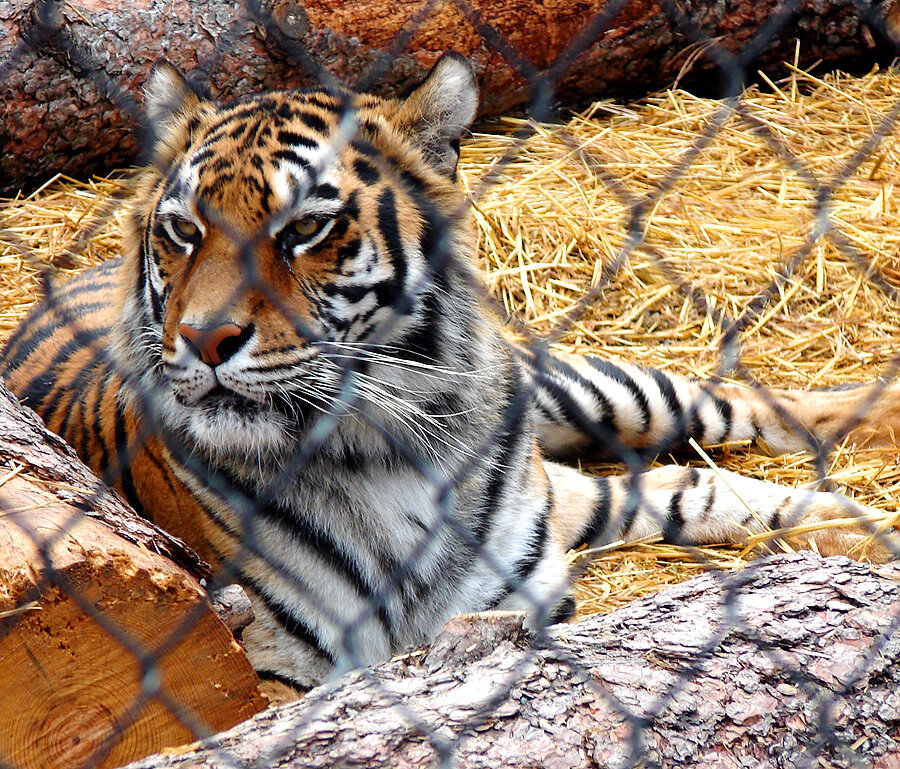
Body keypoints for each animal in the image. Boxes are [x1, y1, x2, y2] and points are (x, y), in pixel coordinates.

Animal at [2, 52, 899, 695]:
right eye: (183, 231)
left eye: (305, 228)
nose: (202, 338)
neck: (381, 454)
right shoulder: (269, 673)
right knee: (676, 483)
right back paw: (858, 528)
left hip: (588, 391)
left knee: (725, 408)